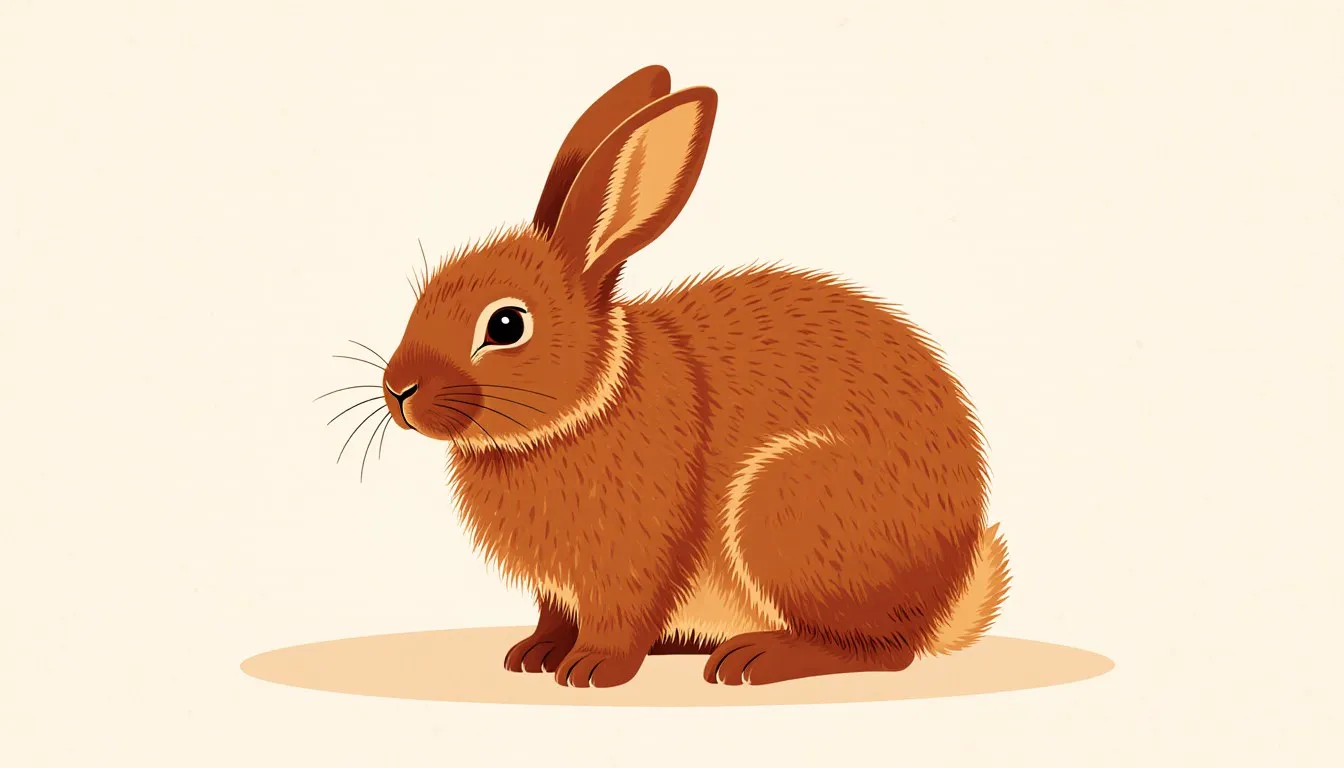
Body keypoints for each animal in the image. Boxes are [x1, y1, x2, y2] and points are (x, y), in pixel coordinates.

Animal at [375, 65, 1009, 688]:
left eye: (506, 324)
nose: (399, 391)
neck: (590, 402)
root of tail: (943, 602)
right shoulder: (557, 588)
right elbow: (553, 616)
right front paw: (535, 654)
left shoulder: (632, 555)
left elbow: (621, 615)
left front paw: (591, 670)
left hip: (787, 508)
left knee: (879, 652)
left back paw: (754, 659)